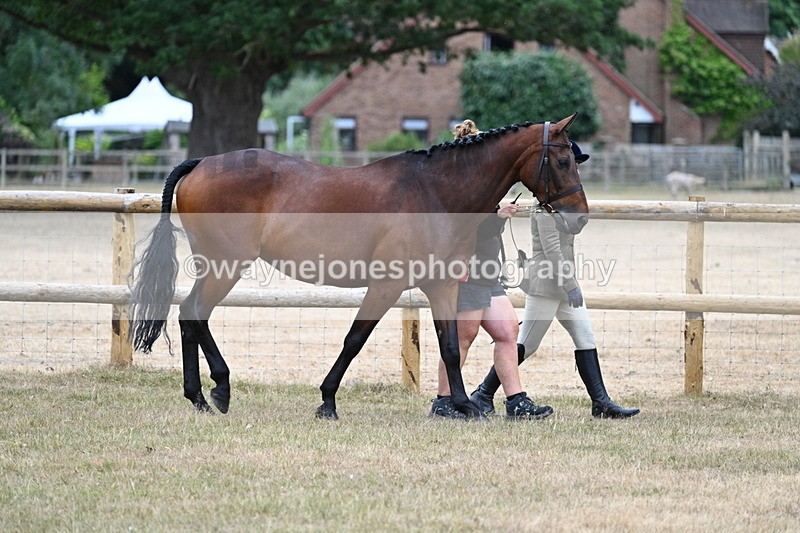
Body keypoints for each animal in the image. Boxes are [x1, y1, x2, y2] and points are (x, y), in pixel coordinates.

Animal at [129, 113, 589, 420]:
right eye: (562, 161)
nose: (580, 218)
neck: (437, 192)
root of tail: (202, 163)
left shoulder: (442, 286)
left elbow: (450, 346)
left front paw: (462, 405)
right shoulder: (385, 286)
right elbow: (354, 340)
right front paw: (327, 401)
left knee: (191, 316)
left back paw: (201, 397)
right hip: (226, 264)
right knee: (194, 313)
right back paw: (217, 391)